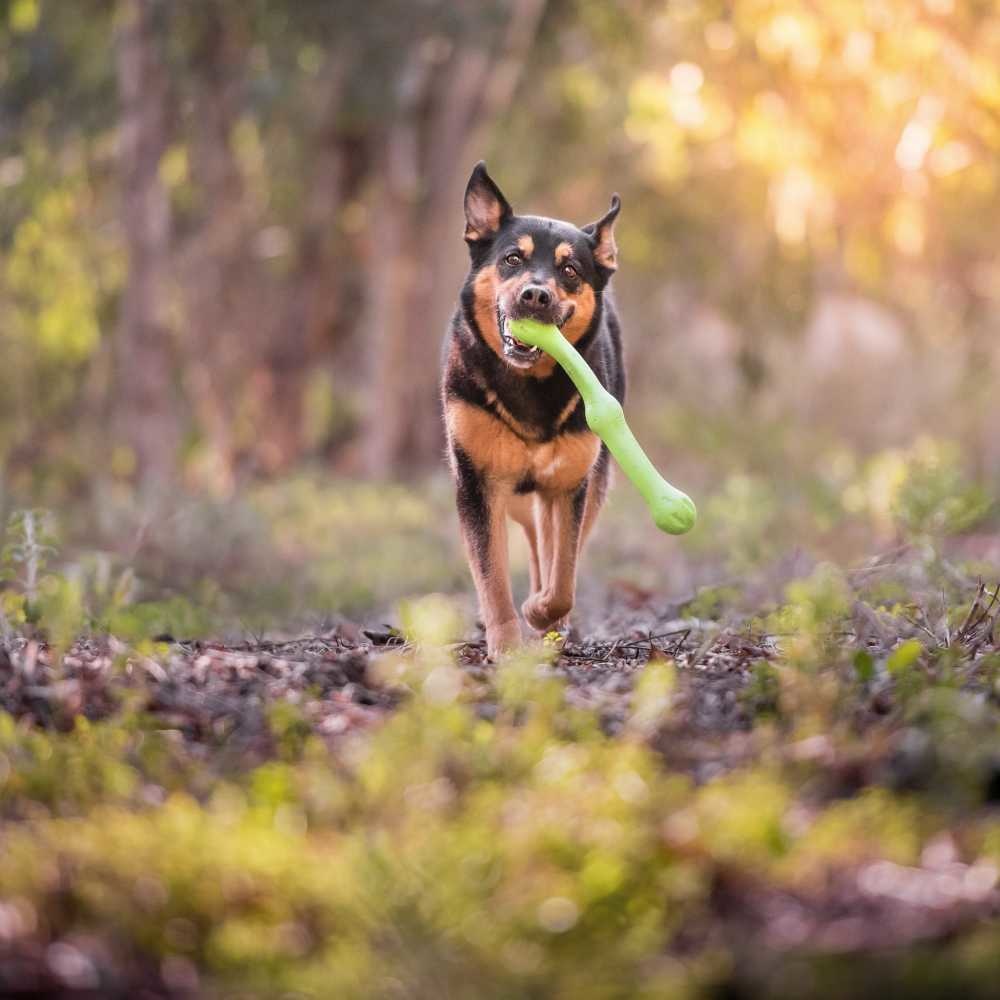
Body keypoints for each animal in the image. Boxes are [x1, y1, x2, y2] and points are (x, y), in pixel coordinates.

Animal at [442, 160, 620, 660]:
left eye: (570, 269)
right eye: (512, 260)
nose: (536, 295)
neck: (528, 385)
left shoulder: (571, 484)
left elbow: (563, 575)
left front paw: (542, 612)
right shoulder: (477, 485)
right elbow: (492, 577)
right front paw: (505, 644)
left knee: (551, 552)